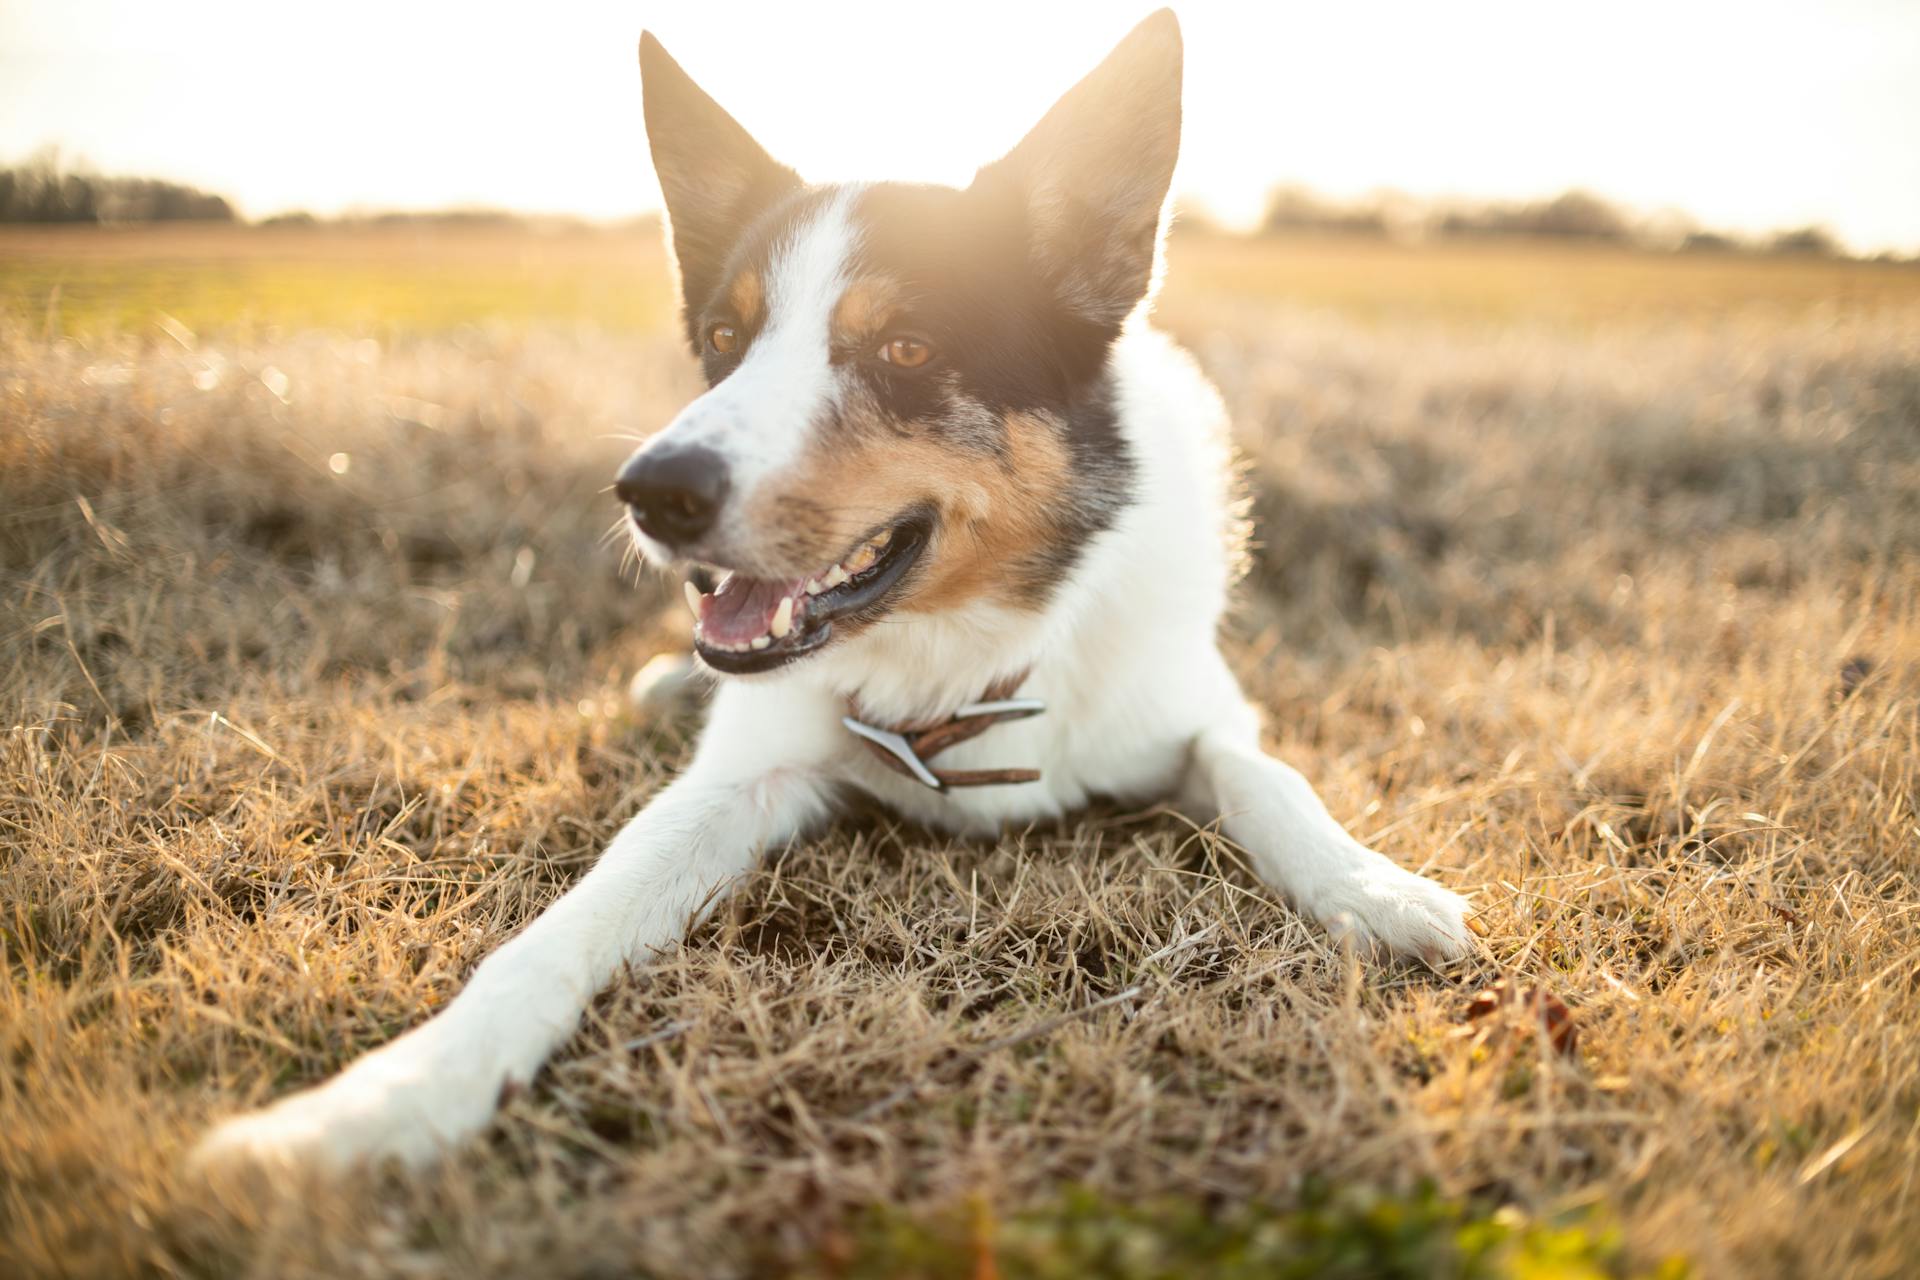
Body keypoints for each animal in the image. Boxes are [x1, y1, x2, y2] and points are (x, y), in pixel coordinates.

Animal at [198, 10, 1466, 1174]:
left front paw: (1372, 883)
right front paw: (390, 1095)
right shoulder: (736, 783)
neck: (966, 651)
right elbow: (567, 921)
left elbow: (1266, 773)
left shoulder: (1197, 708)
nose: (653, 490)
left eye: (904, 349)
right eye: (724, 335)